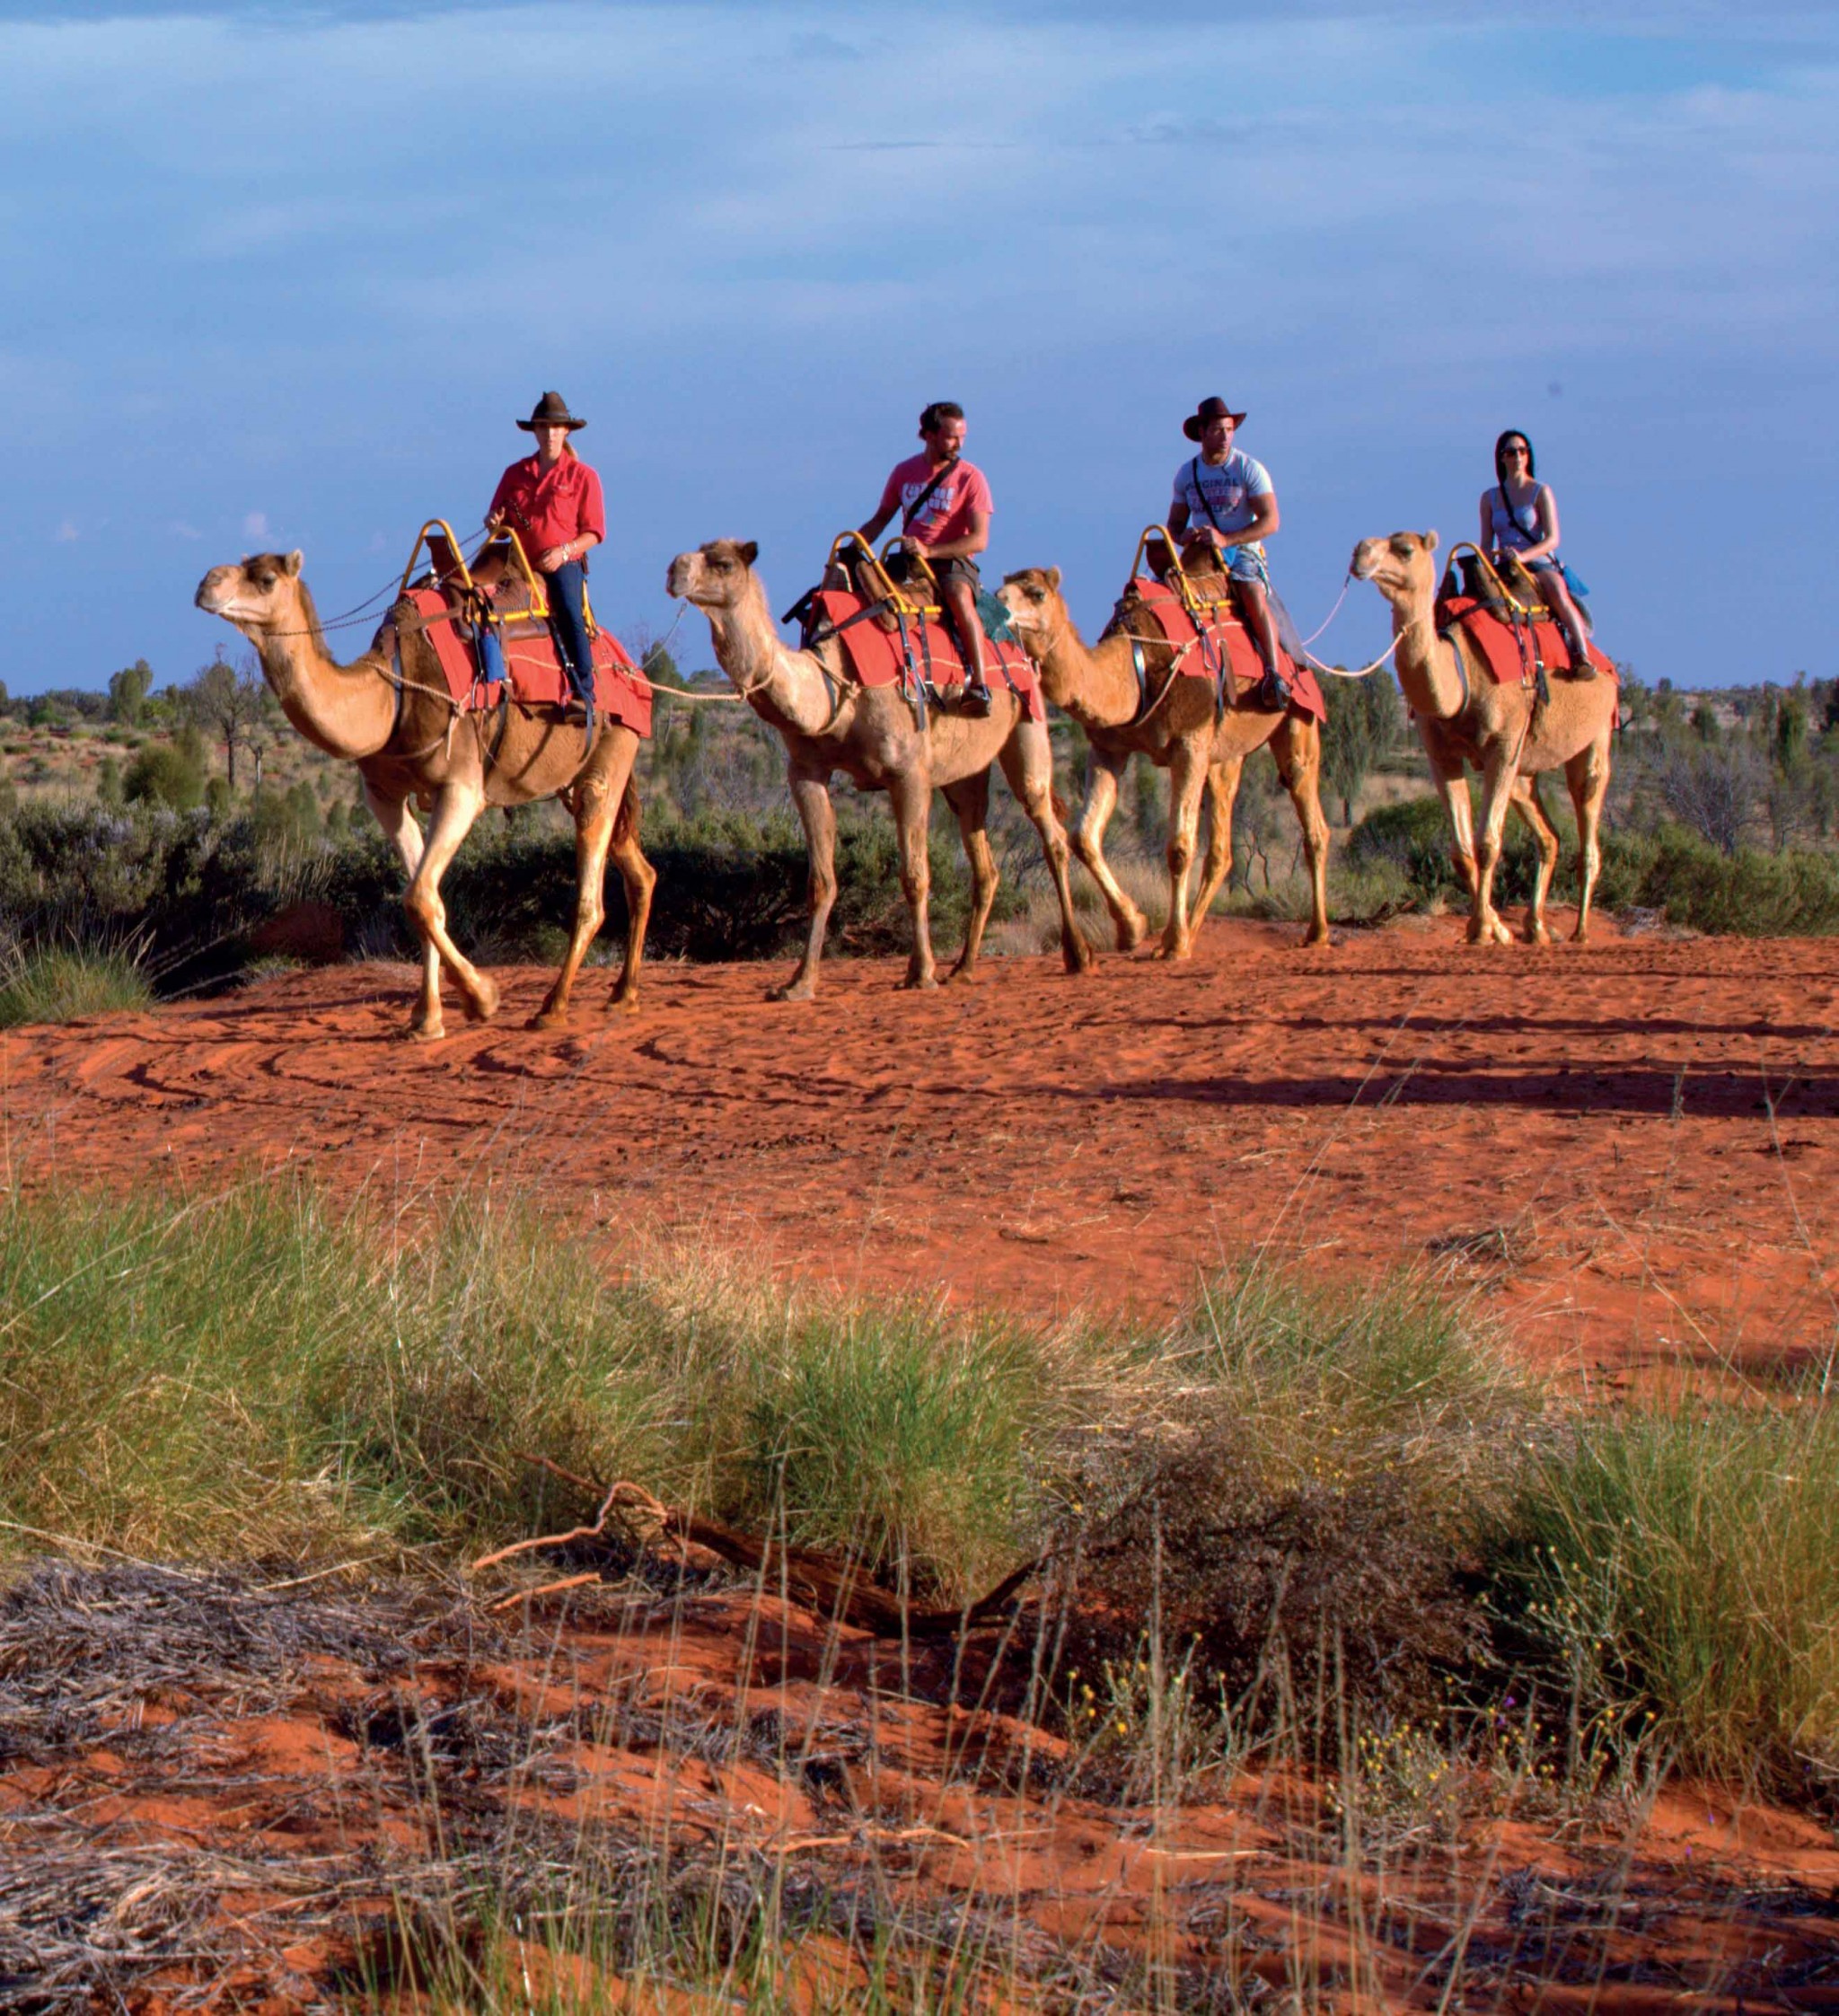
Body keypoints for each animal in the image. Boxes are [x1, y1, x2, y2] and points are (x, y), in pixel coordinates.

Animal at [192, 552, 653, 1040]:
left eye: (265, 579)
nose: (207, 584)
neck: (391, 696)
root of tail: (634, 669)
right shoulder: (385, 796)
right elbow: (424, 900)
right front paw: (427, 1020)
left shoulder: (461, 787)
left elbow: (419, 896)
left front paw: (482, 998)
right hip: (576, 776)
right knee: (639, 870)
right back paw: (624, 994)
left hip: (614, 741)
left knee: (592, 889)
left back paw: (553, 1006)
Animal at [665, 544, 1080, 999]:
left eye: (722, 563)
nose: (674, 571)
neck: (837, 689)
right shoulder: (805, 773)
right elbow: (820, 881)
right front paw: (799, 982)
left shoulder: (909, 774)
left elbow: (915, 875)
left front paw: (921, 973)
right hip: (964, 773)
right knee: (983, 859)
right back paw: (963, 968)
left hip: (1029, 722)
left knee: (1050, 829)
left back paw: (1077, 955)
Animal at [999, 560, 1331, 951]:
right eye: (1001, 588)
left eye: (1036, 593)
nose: (998, 604)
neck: (1135, 668)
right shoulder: (1108, 748)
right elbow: (1084, 836)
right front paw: (1133, 927)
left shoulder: (1189, 744)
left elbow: (1179, 846)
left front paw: (1172, 943)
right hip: (1225, 755)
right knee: (1221, 846)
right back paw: (1195, 929)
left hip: (1299, 715)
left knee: (1309, 812)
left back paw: (1317, 933)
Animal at [1347, 532, 1613, 947]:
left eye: (1404, 549)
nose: (1360, 553)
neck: (1461, 672)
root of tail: (1608, 666)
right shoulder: (1440, 754)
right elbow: (1461, 851)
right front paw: (1497, 928)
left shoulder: (1501, 748)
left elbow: (1487, 844)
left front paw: (1480, 930)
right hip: (1526, 766)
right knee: (1549, 836)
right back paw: (1536, 927)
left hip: (1595, 736)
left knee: (1588, 810)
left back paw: (1581, 931)